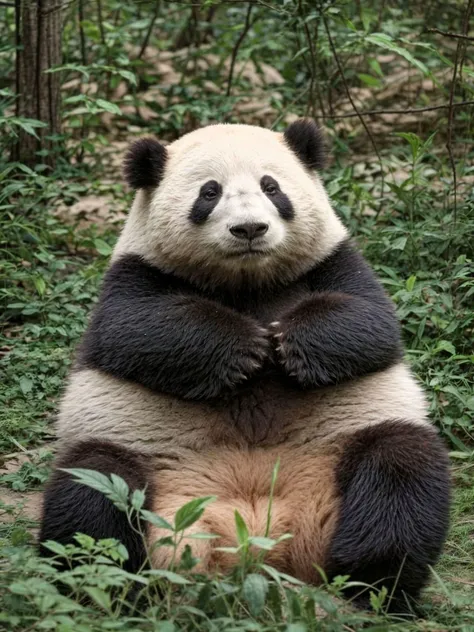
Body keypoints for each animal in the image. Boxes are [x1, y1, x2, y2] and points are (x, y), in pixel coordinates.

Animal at [39, 119, 450, 612]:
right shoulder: (135, 272)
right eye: (209, 192)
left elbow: (370, 321)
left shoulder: (332, 259)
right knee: (93, 492)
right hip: (140, 460)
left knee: (400, 472)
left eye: (271, 187)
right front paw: (247, 349)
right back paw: (117, 590)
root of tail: (257, 544)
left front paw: (288, 344)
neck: (245, 280)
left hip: (347, 444)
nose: (250, 228)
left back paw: (371, 581)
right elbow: (133, 328)